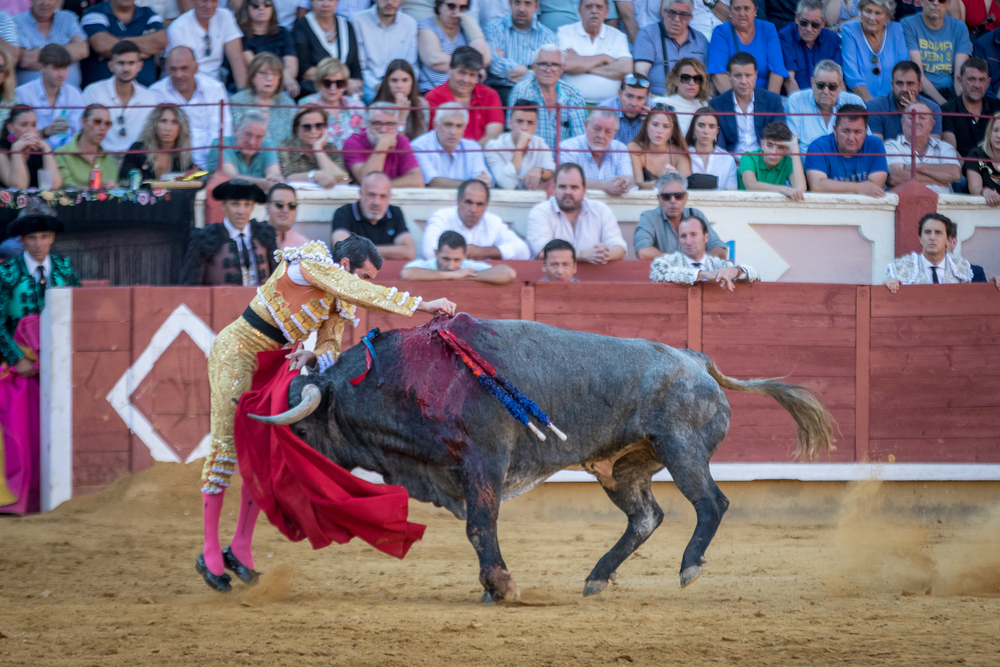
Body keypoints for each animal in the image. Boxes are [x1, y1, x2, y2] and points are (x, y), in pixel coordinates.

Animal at [254, 316, 832, 604]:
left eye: (299, 428)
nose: (280, 491)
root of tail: (696, 359)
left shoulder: (485, 459)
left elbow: (481, 525)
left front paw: (501, 587)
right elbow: (477, 527)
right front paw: (493, 588)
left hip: (682, 448)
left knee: (711, 502)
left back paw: (689, 568)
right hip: (619, 469)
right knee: (646, 517)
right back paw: (597, 578)